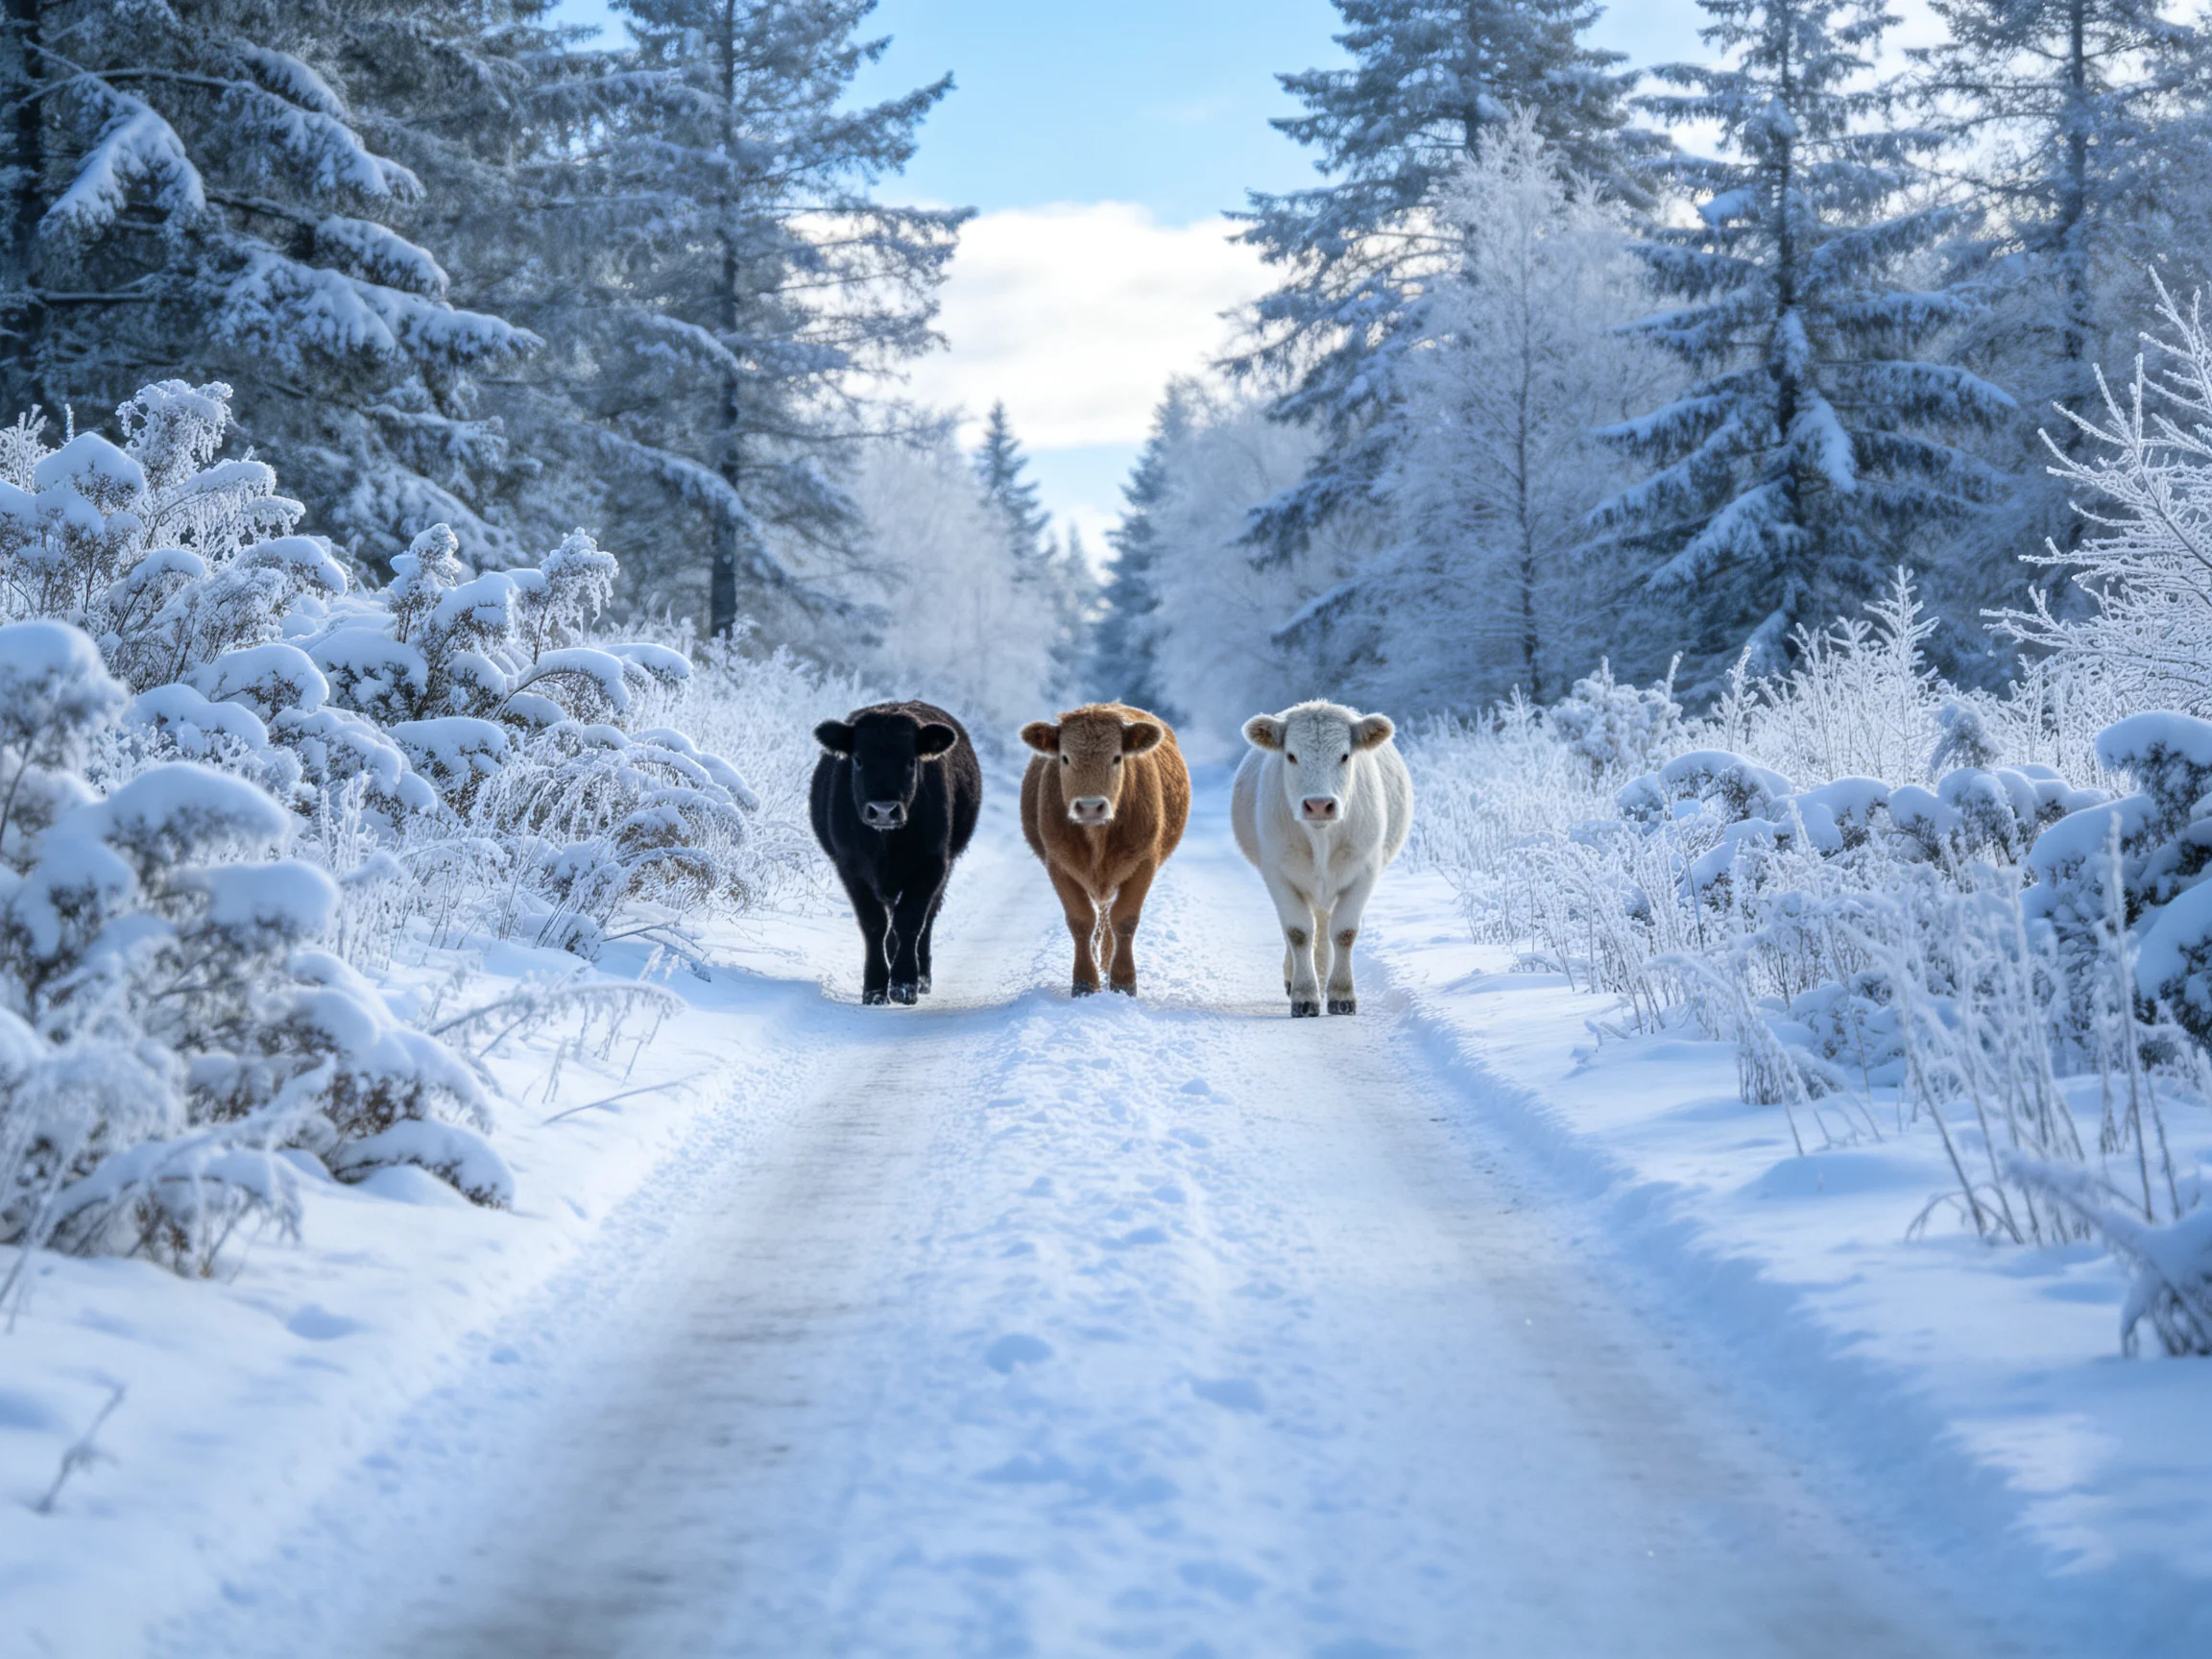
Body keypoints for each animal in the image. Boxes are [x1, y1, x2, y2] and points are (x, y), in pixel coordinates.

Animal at [810, 700, 982, 1005]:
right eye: (858, 760)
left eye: (910, 761)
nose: (883, 810)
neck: (886, 843)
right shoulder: (851, 868)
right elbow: (874, 924)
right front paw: (875, 987)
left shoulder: (932, 864)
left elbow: (911, 920)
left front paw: (904, 983)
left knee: (926, 919)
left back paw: (922, 976)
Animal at [1019, 702, 1190, 997]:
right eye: (1065, 758)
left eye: (1117, 758)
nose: (1090, 807)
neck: (1097, 838)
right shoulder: (1058, 863)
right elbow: (1080, 921)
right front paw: (1084, 984)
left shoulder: (1144, 862)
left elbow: (1124, 919)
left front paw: (1123, 982)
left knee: (1109, 915)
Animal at [1232, 700, 1412, 1017]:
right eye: (1291, 755)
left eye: (1345, 755)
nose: (1319, 805)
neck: (1321, 841)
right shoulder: (1277, 872)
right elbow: (1298, 932)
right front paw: (1305, 995)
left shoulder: (1365, 870)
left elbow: (1344, 932)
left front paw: (1341, 994)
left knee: (1325, 924)